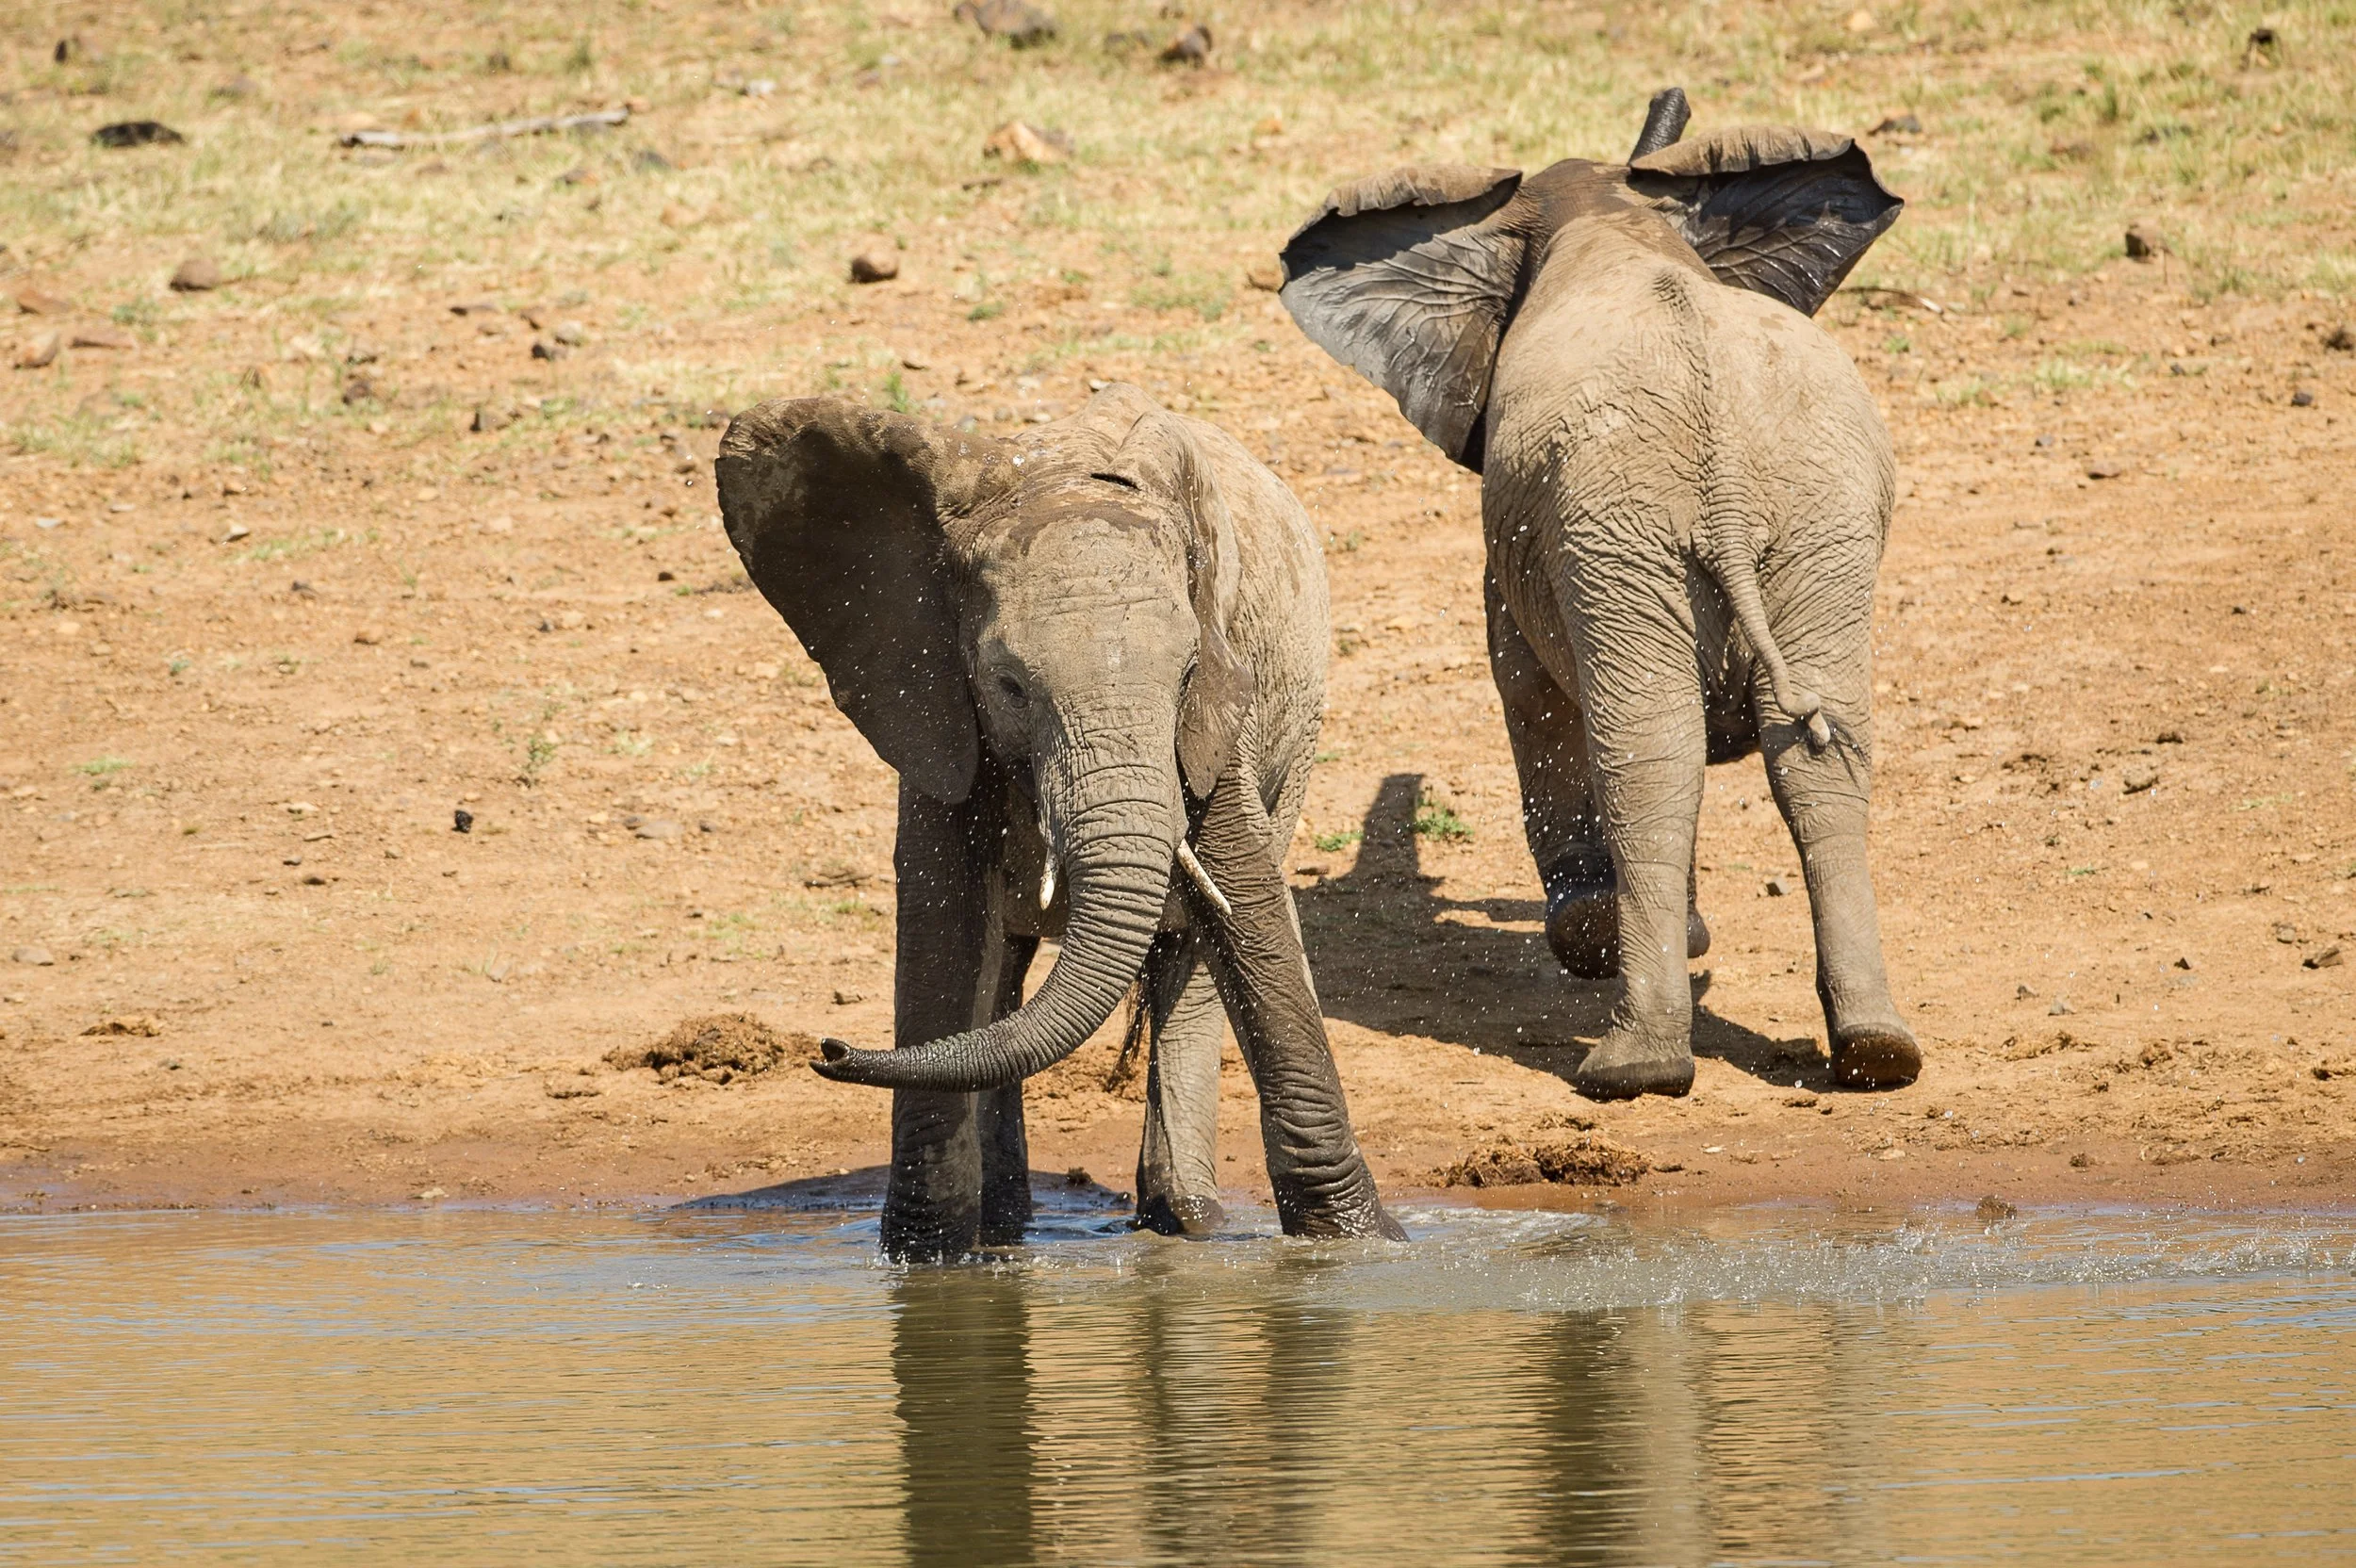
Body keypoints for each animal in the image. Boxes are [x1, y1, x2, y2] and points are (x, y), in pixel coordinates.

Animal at [714, 384, 1403, 1257]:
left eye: (1186, 673)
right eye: (1009, 685)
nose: (829, 1047)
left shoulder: (1222, 702)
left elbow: (1245, 894)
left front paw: (1360, 1246)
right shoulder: (931, 687)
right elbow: (941, 913)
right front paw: (926, 1261)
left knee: (1188, 957)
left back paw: (1184, 1220)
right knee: (1008, 973)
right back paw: (1009, 1224)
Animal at [1278, 87, 1920, 1100]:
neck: (1613, 215)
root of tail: (1720, 463)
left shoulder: (1519, 544)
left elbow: (1528, 691)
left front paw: (1596, 934)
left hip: (1627, 520)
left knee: (1648, 749)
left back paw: (1632, 1066)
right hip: (1799, 518)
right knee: (1810, 751)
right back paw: (1874, 1055)